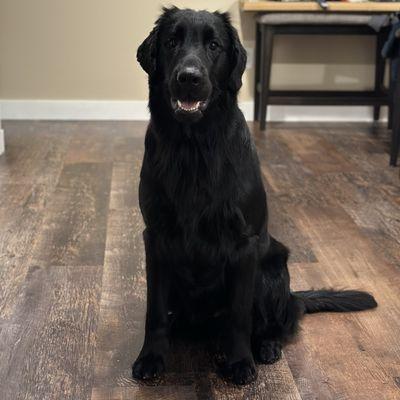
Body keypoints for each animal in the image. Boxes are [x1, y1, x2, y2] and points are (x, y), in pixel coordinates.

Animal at [132, 7, 378, 386]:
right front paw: (151, 357)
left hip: (273, 272)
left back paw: (264, 346)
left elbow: (238, 315)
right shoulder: (156, 237)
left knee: (279, 323)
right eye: (172, 41)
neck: (193, 147)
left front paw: (239, 361)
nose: (189, 77)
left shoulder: (243, 244)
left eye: (214, 45)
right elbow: (154, 310)